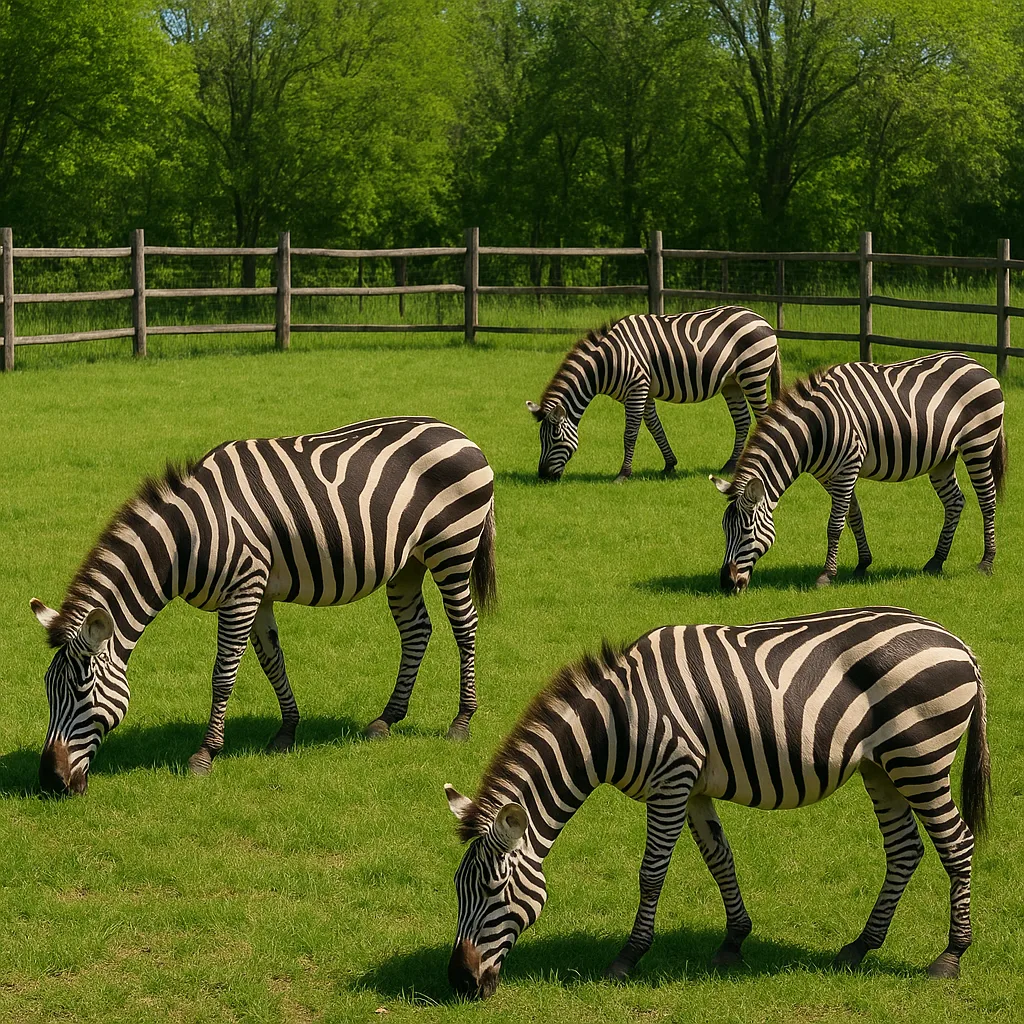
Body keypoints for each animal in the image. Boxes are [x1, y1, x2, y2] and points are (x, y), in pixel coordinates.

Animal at [30, 416, 496, 796]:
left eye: (81, 692)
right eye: (48, 691)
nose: (49, 782)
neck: (187, 539)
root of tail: (460, 434)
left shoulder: (243, 590)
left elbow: (223, 675)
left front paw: (205, 755)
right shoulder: (258, 592)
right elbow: (273, 661)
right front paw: (287, 732)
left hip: (453, 550)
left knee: (465, 626)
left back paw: (461, 721)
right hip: (408, 564)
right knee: (417, 630)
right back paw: (386, 719)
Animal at [445, 606, 990, 1000]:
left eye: (493, 891)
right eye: (457, 890)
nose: (459, 982)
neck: (618, 720)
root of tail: (959, 644)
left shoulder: (671, 779)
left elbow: (651, 873)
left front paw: (627, 957)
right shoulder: (693, 788)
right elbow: (719, 859)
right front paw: (733, 942)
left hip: (920, 757)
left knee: (957, 845)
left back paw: (951, 957)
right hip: (882, 768)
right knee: (905, 850)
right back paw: (859, 947)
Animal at [526, 306, 781, 482]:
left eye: (555, 437)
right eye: (540, 439)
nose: (543, 476)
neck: (607, 362)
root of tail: (763, 320)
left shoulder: (637, 389)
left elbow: (630, 434)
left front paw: (623, 474)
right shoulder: (643, 392)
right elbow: (655, 427)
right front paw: (669, 465)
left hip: (753, 374)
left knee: (764, 417)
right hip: (732, 383)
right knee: (742, 420)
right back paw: (730, 465)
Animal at [712, 352, 1007, 595]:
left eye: (746, 531)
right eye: (724, 530)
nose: (726, 583)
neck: (813, 430)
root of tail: (978, 364)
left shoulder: (848, 466)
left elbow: (834, 524)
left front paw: (826, 575)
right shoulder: (831, 475)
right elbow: (853, 516)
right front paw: (863, 564)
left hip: (979, 445)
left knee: (987, 501)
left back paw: (987, 562)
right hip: (943, 458)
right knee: (955, 502)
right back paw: (936, 561)